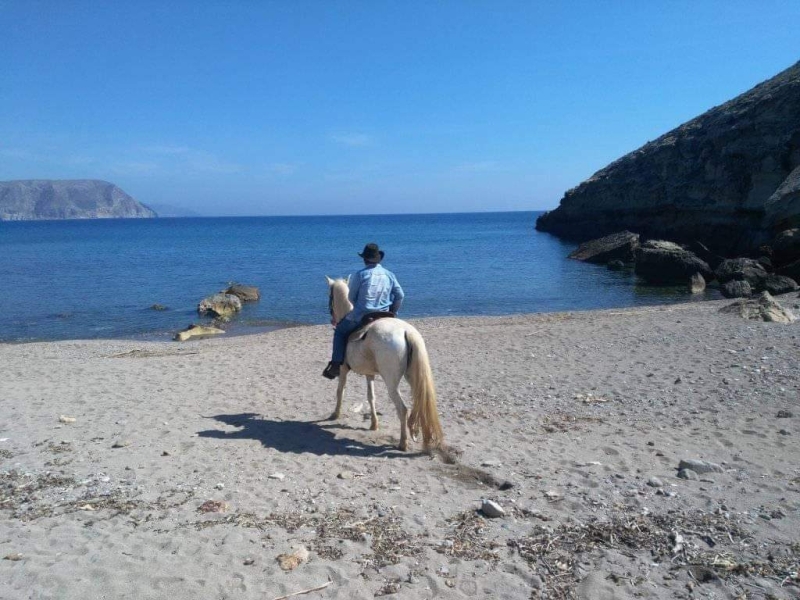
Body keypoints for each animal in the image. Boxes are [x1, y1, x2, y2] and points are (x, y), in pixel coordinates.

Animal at [324, 276, 444, 450]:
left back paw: (403, 442)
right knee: (419, 404)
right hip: (413, 378)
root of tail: (406, 331)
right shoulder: (369, 374)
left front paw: (335, 414)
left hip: (392, 383)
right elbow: (371, 397)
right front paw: (374, 424)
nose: (332, 319)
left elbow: (340, 391)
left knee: (403, 409)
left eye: (330, 296)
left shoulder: (343, 369)